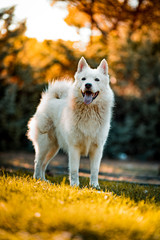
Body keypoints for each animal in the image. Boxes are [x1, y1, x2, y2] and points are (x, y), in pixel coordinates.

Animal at [27, 57, 114, 188]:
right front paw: (74, 185)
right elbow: (74, 169)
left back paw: (43, 180)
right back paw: (37, 180)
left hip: (53, 148)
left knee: (43, 164)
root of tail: (49, 99)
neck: (89, 111)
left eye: (96, 79)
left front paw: (95, 186)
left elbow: (95, 170)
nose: (88, 85)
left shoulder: (97, 149)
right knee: (38, 162)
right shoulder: (74, 148)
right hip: (45, 145)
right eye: (83, 79)